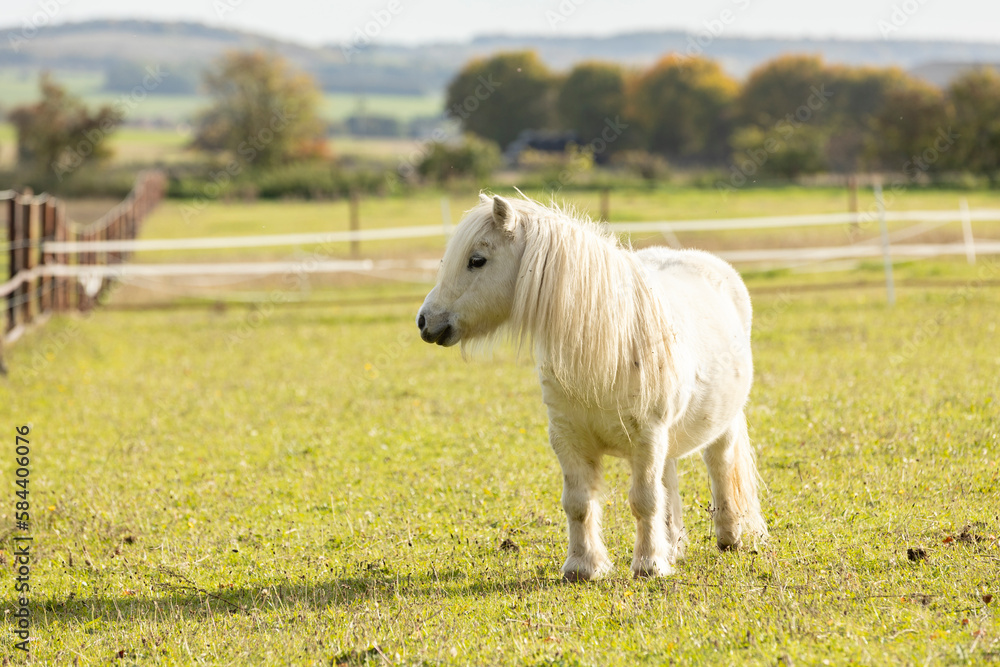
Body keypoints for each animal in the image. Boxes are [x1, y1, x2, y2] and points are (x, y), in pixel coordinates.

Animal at [416, 194, 767, 580]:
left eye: (476, 260)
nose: (425, 320)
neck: (608, 346)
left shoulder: (647, 436)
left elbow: (644, 500)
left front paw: (648, 565)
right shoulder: (567, 436)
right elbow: (579, 503)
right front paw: (583, 566)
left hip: (720, 426)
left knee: (719, 465)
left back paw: (729, 537)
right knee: (669, 479)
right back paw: (673, 547)